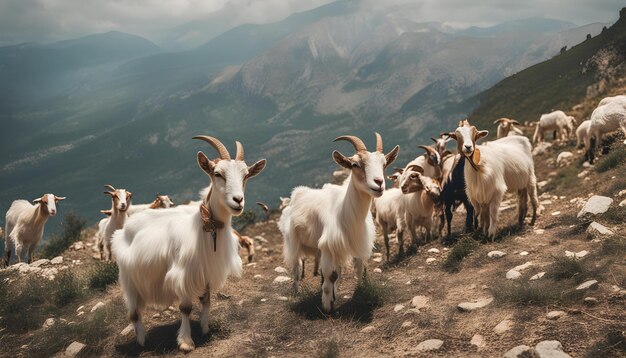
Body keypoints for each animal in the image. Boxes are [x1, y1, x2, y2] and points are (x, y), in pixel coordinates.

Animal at [112, 136, 264, 352]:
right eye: (217, 174)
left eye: (246, 176)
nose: (238, 201)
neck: (205, 230)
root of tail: (124, 228)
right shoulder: (183, 274)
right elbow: (185, 308)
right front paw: (185, 342)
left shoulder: (206, 272)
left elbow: (207, 302)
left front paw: (205, 329)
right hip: (129, 278)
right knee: (134, 313)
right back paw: (141, 341)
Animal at [280, 133, 398, 312]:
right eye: (355, 164)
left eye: (384, 164)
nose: (378, 183)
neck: (344, 212)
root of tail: (298, 193)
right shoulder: (329, 245)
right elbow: (331, 274)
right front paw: (327, 305)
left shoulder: (357, 243)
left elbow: (359, 269)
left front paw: (360, 289)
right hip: (293, 240)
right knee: (296, 266)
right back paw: (297, 290)